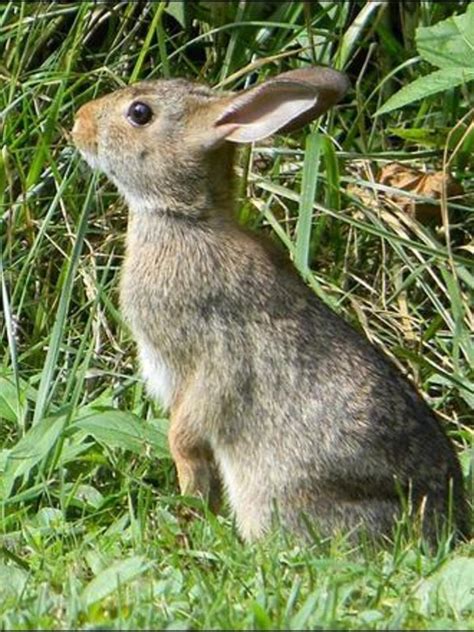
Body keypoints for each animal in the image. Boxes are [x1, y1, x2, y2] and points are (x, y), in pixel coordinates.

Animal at [72, 68, 468, 544]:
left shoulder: (211, 358)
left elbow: (188, 437)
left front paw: (190, 513)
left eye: (140, 113)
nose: (77, 122)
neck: (186, 218)